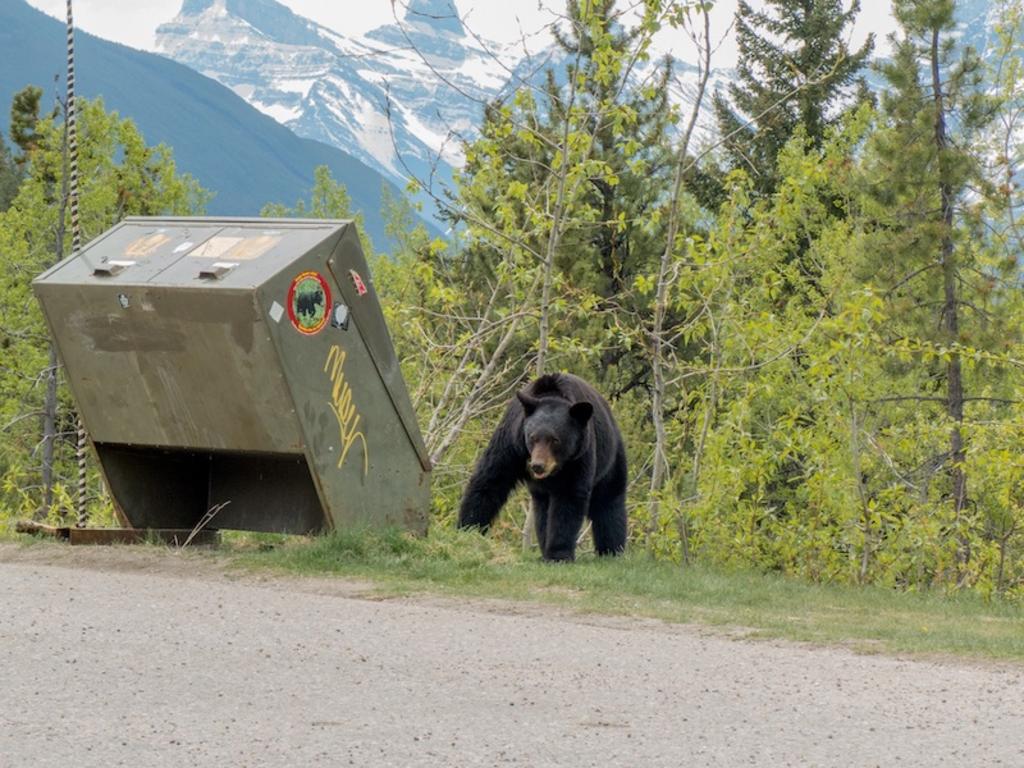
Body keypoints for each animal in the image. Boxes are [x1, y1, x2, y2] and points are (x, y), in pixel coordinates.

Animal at [460, 374, 626, 561]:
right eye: (532, 437)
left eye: (555, 440)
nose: (537, 466)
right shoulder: (512, 443)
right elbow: (492, 479)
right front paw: (468, 529)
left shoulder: (579, 458)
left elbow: (568, 499)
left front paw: (558, 554)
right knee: (542, 510)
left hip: (610, 458)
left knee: (609, 501)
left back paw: (611, 550)